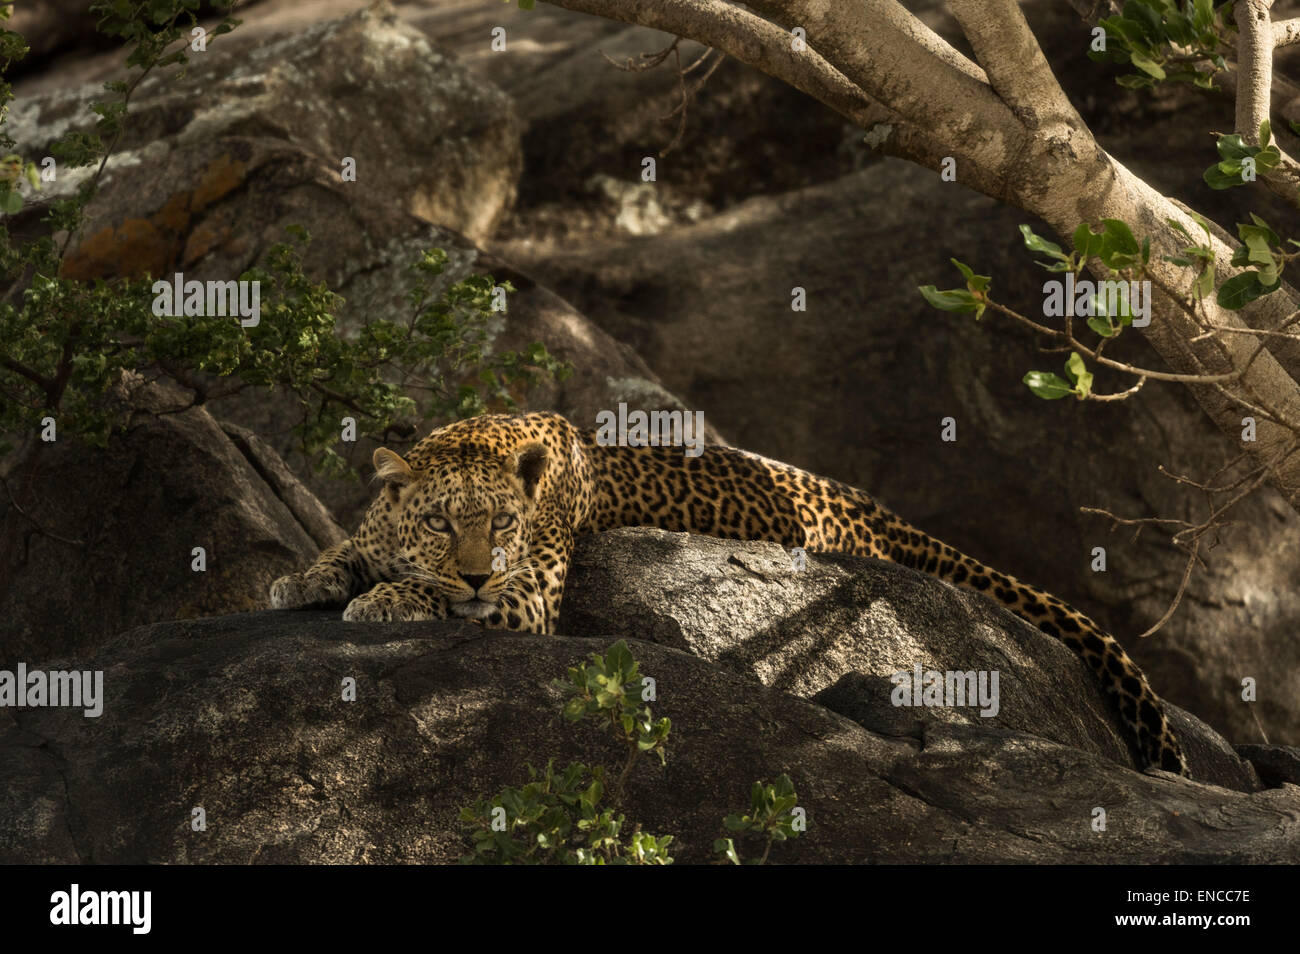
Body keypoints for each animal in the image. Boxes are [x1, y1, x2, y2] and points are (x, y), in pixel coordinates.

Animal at [271, 410, 1190, 779]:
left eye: (499, 523)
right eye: (440, 522)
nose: (471, 568)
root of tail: (873, 507)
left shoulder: (524, 592)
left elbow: (438, 597)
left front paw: (387, 600)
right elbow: (348, 549)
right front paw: (303, 577)